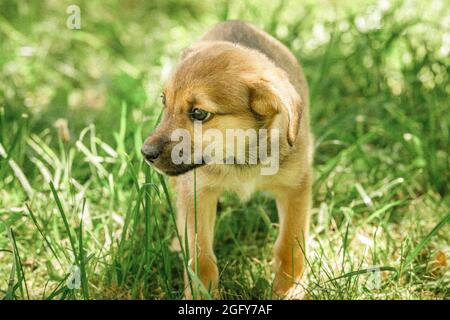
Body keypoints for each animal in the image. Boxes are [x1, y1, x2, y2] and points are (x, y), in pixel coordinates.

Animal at [142, 21, 312, 298]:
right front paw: (201, 294)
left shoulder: (295, 187)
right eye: (164, 101)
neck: (240, 159)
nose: (145, 153)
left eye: (199, 113)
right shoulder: (197, 193)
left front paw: (289, 290)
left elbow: (290, 244)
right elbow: (200, 256)